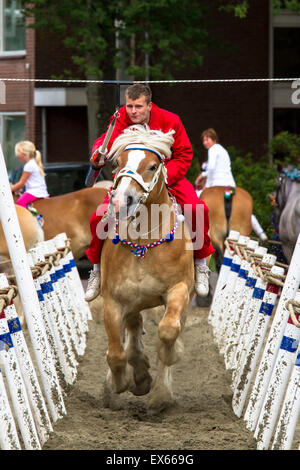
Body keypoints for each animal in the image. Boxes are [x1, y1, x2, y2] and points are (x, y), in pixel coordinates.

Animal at [99, 126, 195, 412]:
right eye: (117, 163)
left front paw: (161, 388)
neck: (144, 240)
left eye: (152, 166)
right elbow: (115, 353)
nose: (122, 200)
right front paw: (121, 383)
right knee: (130, 332)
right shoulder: (113, 300)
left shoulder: (179, 289)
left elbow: (168, 332)